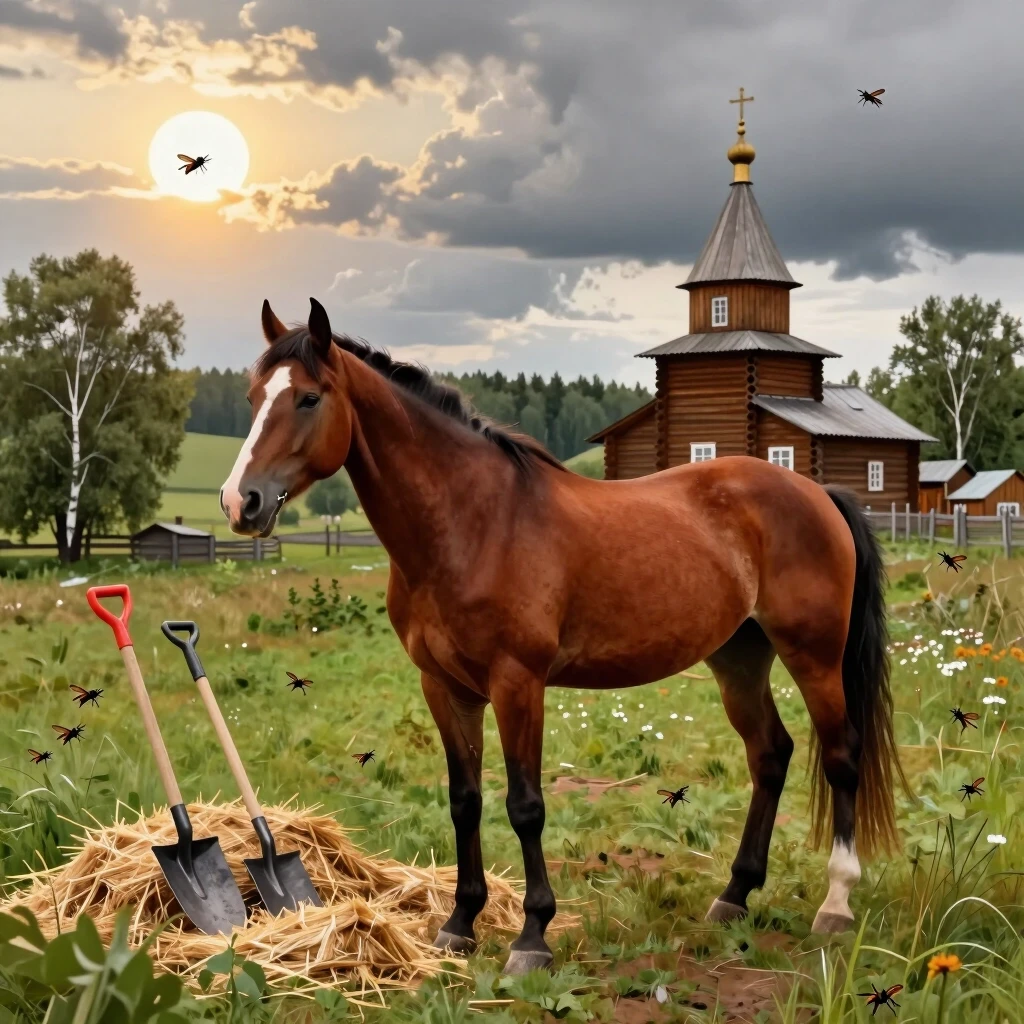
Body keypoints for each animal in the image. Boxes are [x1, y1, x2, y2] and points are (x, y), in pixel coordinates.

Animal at [220, 297, 908, 974]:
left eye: (309, 397)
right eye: (253, 397)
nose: (239, 501)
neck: (474, 523)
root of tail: (815, 490)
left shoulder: (517, 682)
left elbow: (525, 806)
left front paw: (532, 937)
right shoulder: (444, 687)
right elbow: (464, 799)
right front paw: (460, 924)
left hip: (813, 655)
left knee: (841, 756)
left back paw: (836, 905)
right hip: (739, 658)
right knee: (770, 754)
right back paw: (734, 895)